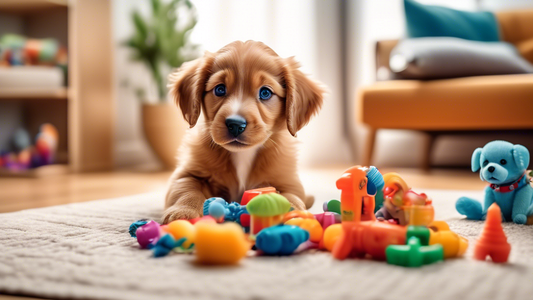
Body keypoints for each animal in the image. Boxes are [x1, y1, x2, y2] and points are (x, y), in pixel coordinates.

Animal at [162, 40, 322, 223]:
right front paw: (184, 212)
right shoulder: (188, 173)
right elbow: (186, 190)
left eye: (265, 92)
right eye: (220, 89)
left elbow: (291, 197)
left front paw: (292, 215)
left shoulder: (289, 183)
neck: (243, 155)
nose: (235, 124)